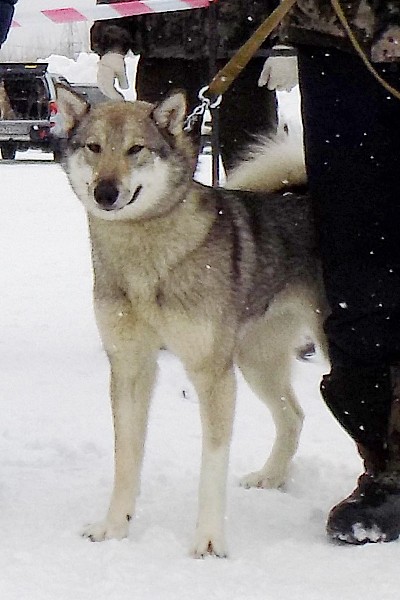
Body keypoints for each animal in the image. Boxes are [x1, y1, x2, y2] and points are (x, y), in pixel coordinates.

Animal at [56, 84, 328, 558]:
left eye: (136, 149)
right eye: (94, 147)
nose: (106, 192)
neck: (145, 254)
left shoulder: (211, 373)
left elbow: (211, 467)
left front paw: (209, 540)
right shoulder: (129, 366)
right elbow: (126, 459)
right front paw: (114, 527)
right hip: (257, 360)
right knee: (293, 415)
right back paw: (271, 477)